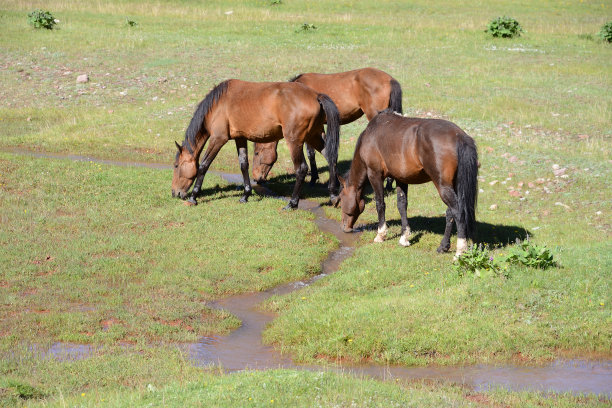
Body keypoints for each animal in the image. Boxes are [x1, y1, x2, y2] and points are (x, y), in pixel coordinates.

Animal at [171, 78, 340, 209]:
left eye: (176, 166)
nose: (174, 193)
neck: (218, 104)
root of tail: (315, 95)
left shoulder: (218, 139)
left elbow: (203, 166)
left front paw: (193, 197)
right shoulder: (240, 138)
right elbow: (243, 165)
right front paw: (245, 195)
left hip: (294, 141)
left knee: (301, 169)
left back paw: (292, 203)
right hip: (313, 136)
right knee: (330, 157)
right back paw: (333, 195)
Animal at [334, 109, 478, 258]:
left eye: (342, 199)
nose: (344, 228)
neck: (370, 135)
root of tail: (459, 136)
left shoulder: (375, 175)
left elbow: (380, 204)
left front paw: (381, 235)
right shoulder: (401, 179)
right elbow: (402, 205)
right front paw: (404, 237)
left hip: (443, 186)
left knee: (458, 212)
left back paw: (460, 251)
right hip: (452, 185)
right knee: (450, 213)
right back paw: (443, 246)